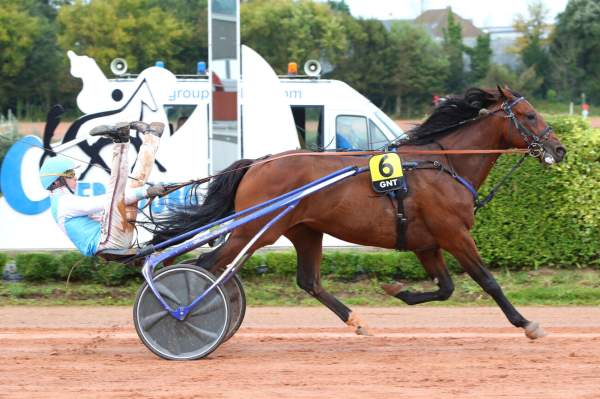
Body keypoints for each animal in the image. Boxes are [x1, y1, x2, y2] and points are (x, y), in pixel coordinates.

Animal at [151, 86, 568, 340]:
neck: (444, 163)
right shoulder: (454, 234)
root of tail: (258, 162)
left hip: (304, 230)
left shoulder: (427, 243)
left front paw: (398, 289)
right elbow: (488, 281)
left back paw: (357, 321)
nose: (560, 149)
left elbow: (445, 288)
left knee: (308, 281)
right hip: (254, 230)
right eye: (529, 115)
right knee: (206, 266)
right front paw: (526, 323)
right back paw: (182, 313)